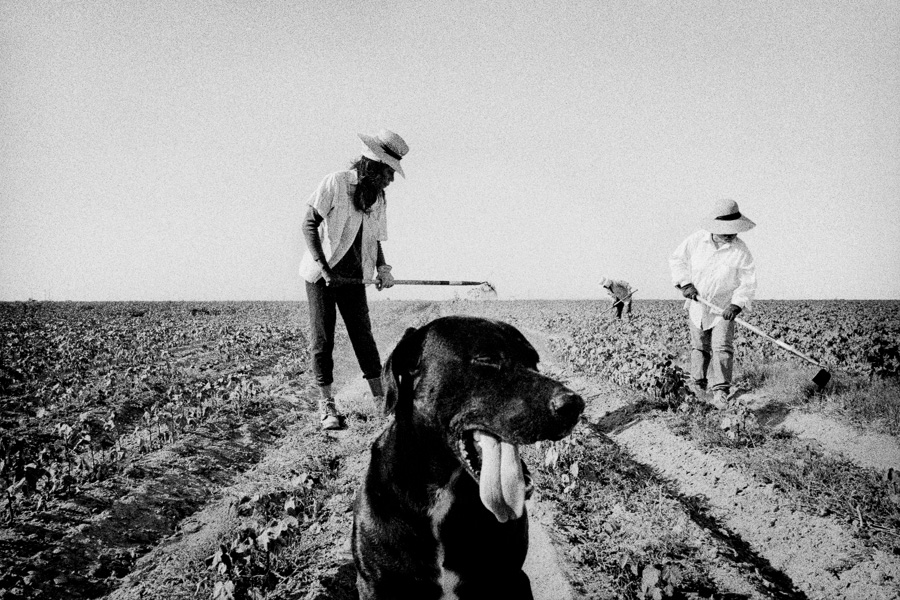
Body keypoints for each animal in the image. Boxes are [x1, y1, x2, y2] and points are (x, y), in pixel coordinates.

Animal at [352, 316, 584, 596]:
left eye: (534, 362)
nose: (574, 405)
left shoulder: (513, 577)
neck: (441, 492)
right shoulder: (374, 584)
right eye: (486, 359)